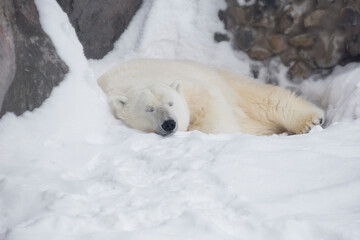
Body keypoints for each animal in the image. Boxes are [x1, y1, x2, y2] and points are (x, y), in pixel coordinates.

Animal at [97, 58, 324, 135]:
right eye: (149, 109)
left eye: (171, 103)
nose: (169, 123)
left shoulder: (193, 88)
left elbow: (210, 105)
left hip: (228, 83)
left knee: (267, 99)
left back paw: (311, 121)